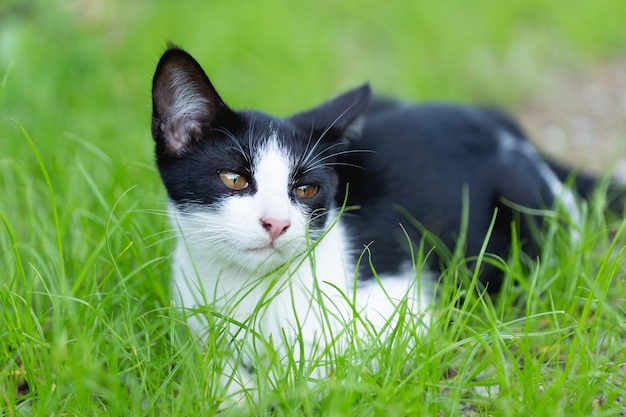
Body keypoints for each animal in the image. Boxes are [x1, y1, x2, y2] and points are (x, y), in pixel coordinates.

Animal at [150, 46, 616, 400]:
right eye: (234, 179)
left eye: (306, 189)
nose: (276, 223)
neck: (244, 291)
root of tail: (494, 120)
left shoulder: (409, 309)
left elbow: (326, 372)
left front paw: (271, 389)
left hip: (526, 193)